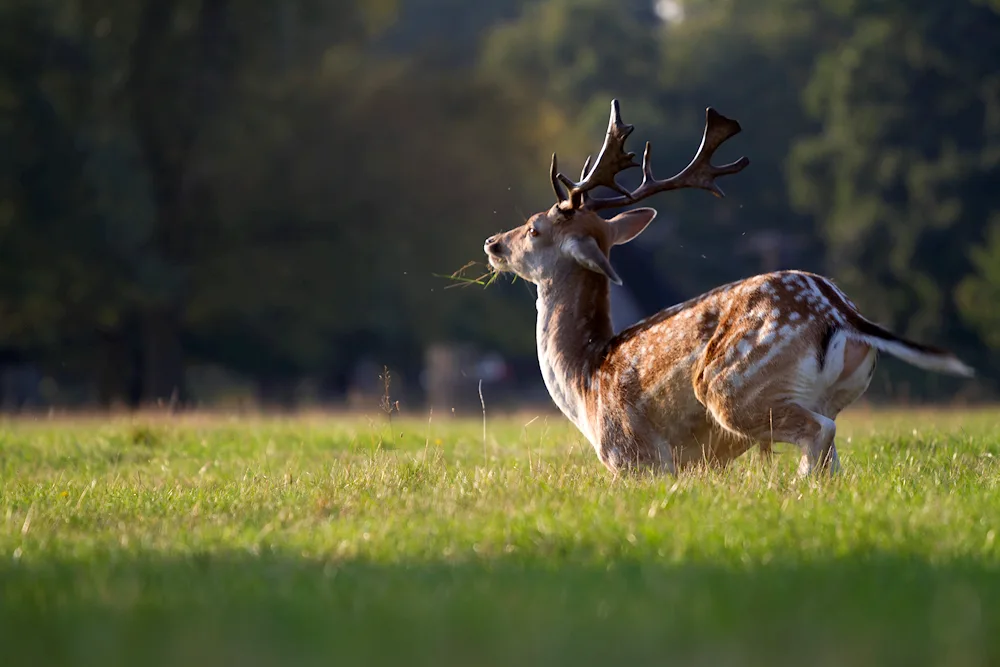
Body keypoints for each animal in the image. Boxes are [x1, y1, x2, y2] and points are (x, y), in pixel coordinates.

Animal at [484, 99, 976, 478]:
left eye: (534, 228)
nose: (493, 243)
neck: (584, 381)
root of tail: (837, 310)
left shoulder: (635, 458)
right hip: (835, 391)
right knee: (832, 457)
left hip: (734, 388)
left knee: (818, 434)